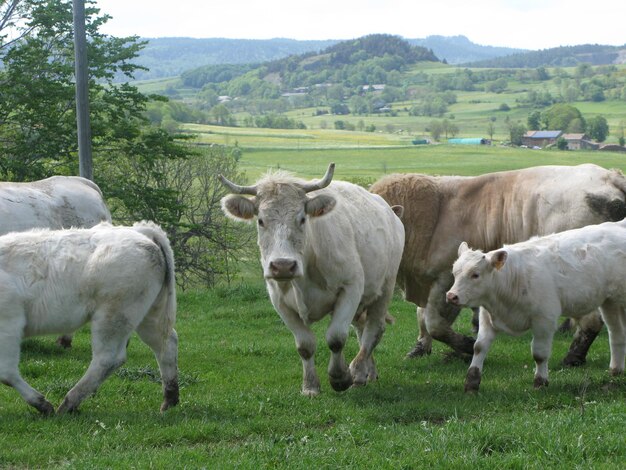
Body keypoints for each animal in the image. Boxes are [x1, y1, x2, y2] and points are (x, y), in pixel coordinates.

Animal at [0, 221, 178, 414]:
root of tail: (139, 231)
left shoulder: (9, 322)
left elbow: (6, 372)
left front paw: (42, 404)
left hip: (113, 315)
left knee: (107, 358)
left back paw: (69, 403)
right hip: (148, 314)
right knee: (166, 344)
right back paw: (170, 400)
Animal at [219, 163, 404, 394]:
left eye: (302, 218)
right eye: (260, 221)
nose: (283, 265)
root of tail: (390, 211)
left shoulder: (351, 287)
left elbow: (336, 338)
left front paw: (340, 377)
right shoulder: (279, 301)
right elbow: (305, 346)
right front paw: (310, 386)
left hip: (385, 287)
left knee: (372, 331)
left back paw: (358, 371)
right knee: (362, 329)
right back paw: (367, 373)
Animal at [370, 165, 624, 364]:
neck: (433, 216)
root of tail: (611, 176)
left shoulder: (444, 279)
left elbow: (434, 323)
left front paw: (465, 345)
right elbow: (425, 318)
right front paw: (423, 348)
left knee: (591, 320)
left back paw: (573, 356)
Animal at [446, 218, 624, 392]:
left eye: (475, 274)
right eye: (454, 272)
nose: (451, 296)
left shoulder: (544, 319)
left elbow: (539, 354)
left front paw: (540, 382)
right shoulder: (487, 317)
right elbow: (479, 347)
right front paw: (471, 383)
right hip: (610, 302)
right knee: (616, 333)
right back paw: (615, 371)